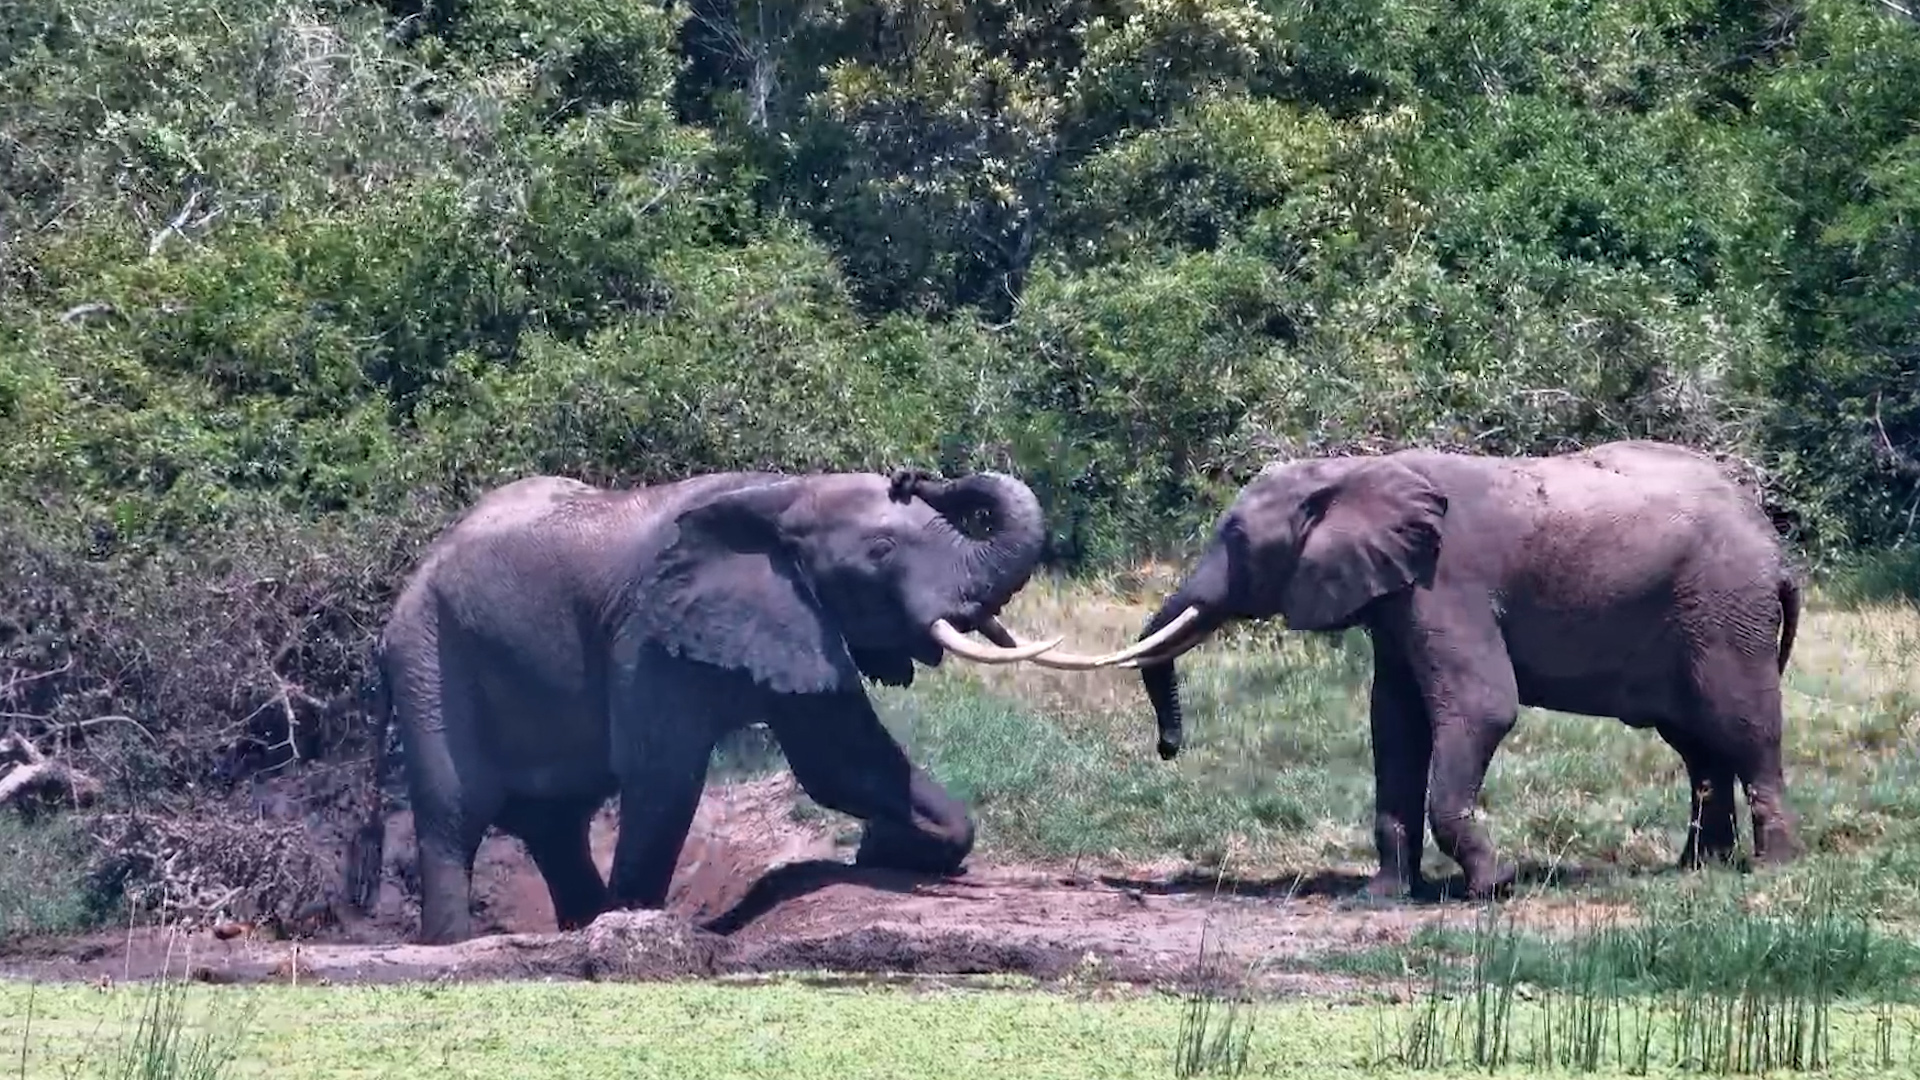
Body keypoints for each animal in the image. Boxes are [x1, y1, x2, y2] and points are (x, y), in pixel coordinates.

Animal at [347, 467, 1098, 945]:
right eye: (881, 550)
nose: (913, 473)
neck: (786, 492)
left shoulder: (798, 620)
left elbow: (844, 763)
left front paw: (885, 847)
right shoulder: (648, 634)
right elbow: (665, 779)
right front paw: (635, 924)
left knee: (557, 823)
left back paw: (579, 926)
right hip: (426, 656)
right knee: (455, 816)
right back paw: (455, 944)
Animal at [1086, 440, 1804, 900]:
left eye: (1235, 539)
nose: (1168, 748)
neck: (1354, 472)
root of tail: (1773, 543)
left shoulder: (1446, 584)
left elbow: (1481, 707)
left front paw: (1494, 888)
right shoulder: (1395, 597)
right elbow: (1395, 725)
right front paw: (1384, 897)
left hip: (1725, 607)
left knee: (1743, 728)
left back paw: (1771, 871)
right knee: (1698, 745)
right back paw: (1697, 870)